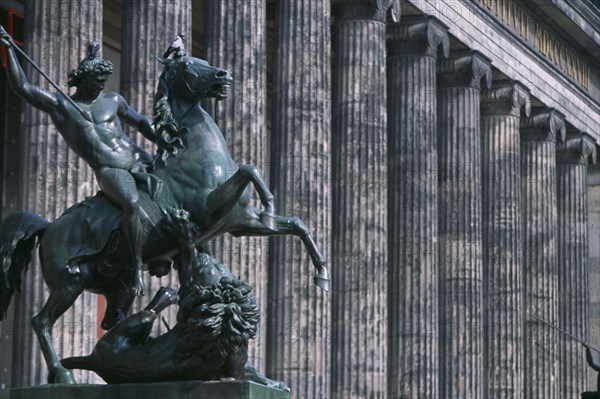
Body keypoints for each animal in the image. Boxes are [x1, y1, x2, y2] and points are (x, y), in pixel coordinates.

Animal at [0, 54, 328, 386]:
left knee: (110, 324)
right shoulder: (211, 209)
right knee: (41, 322)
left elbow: (297, 223)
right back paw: (63, 373)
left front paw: (321, 274)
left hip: (110, 287)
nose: (223, 74)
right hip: (70, 282)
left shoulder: (241, 223)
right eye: (187, 64)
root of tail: (48, 227)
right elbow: (250, 168)